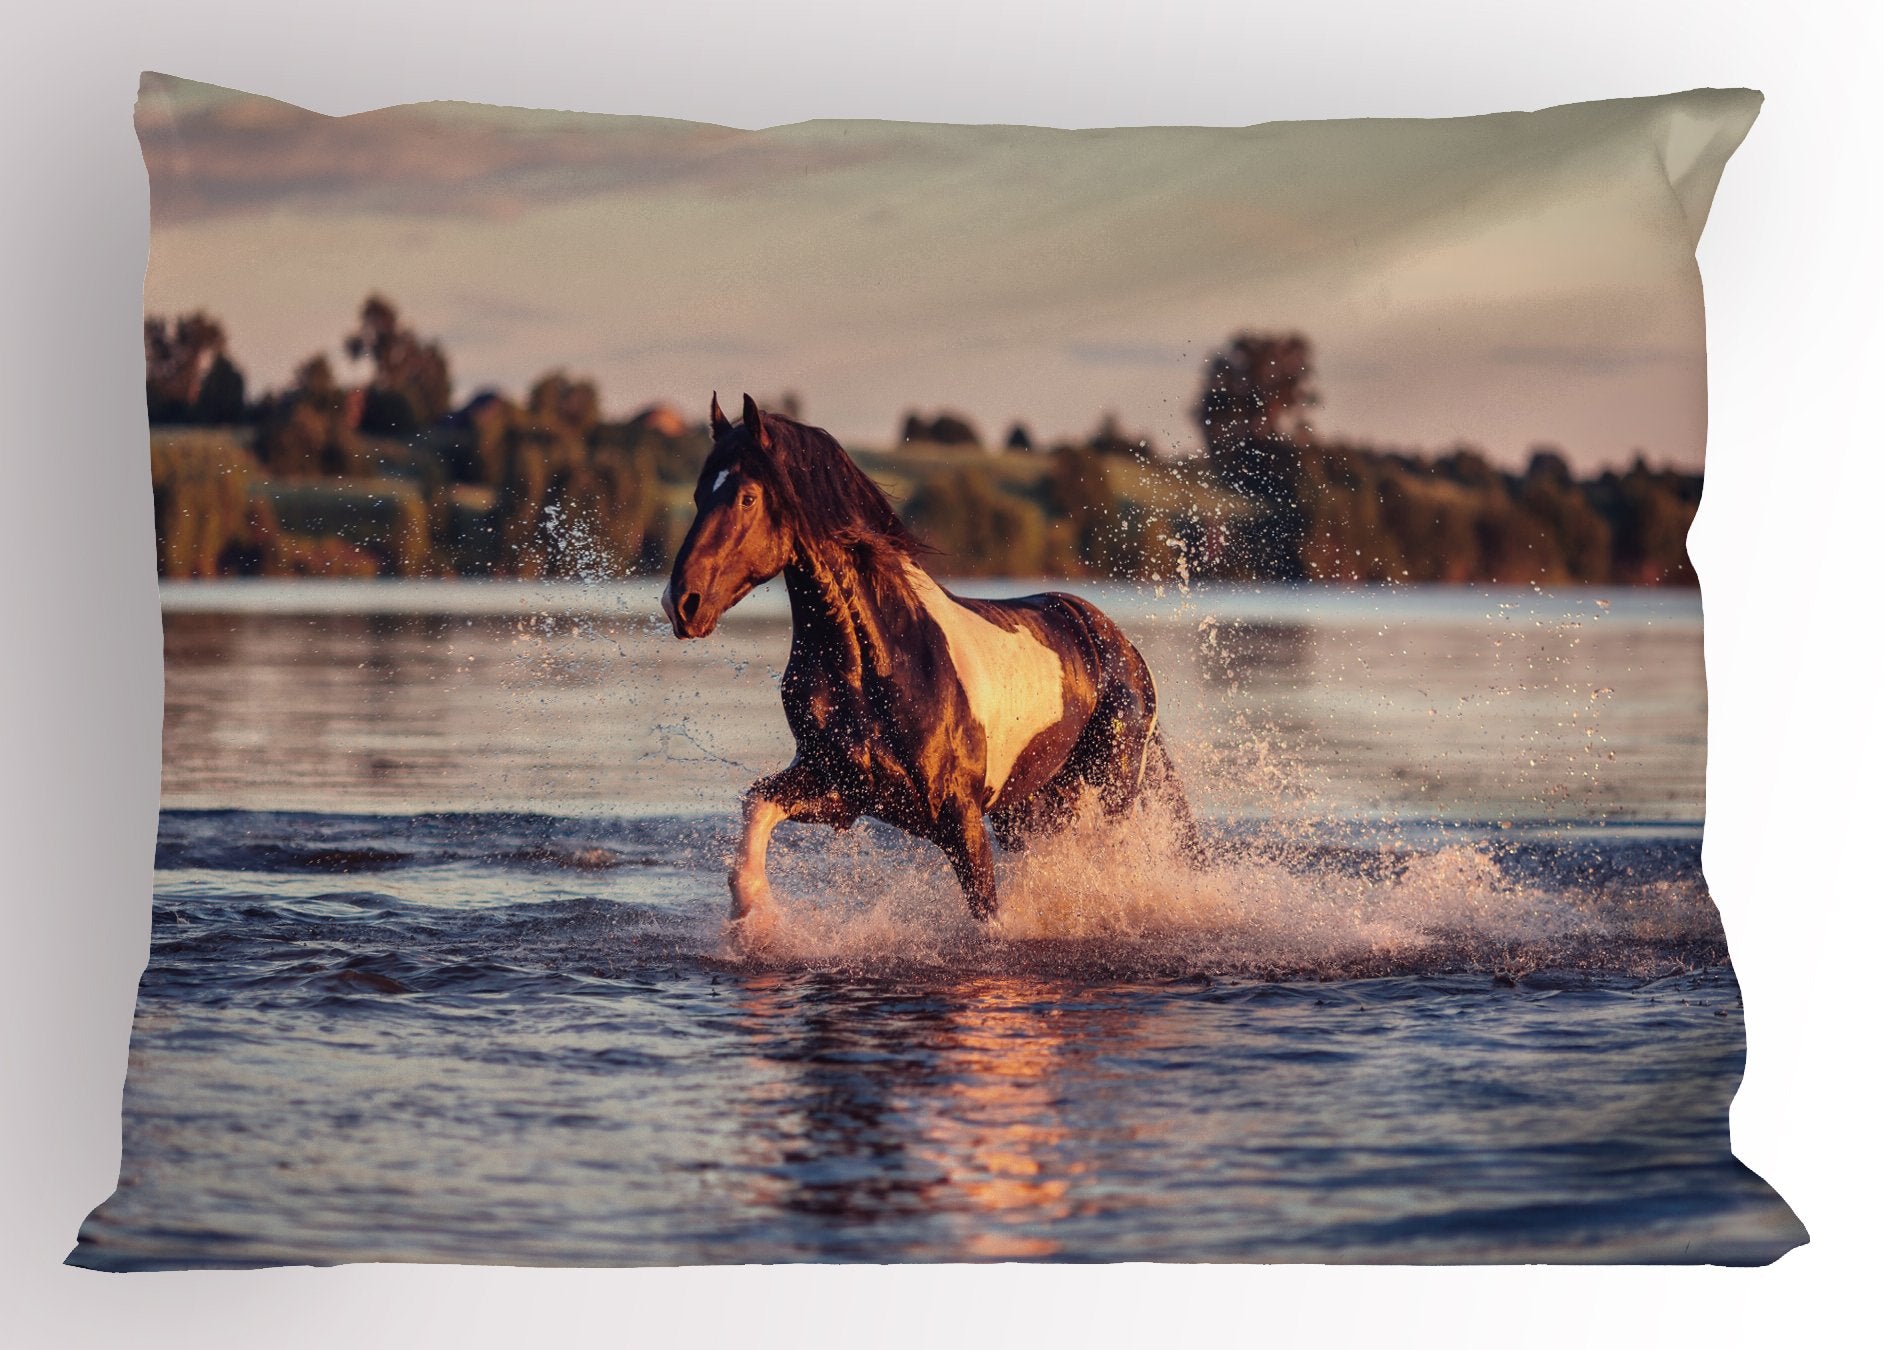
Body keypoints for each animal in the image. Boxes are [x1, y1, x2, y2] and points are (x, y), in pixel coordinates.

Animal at [663, 393, 1198, 934]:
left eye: (747, 498)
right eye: (698, 495)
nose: (681, 603)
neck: (875, 668)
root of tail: (1116, 641)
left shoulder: (960, 820)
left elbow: (988, 918)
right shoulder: (840, 790)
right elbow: (757, 802)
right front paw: (751, 917)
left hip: (1110, 788)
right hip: (1029, 808)